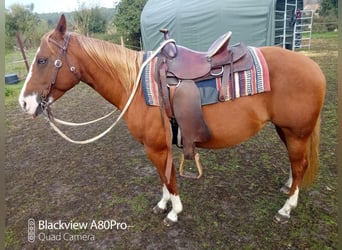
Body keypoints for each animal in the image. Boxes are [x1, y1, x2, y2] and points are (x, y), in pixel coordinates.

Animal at [18, 15, 326, 227]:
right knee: (296, 164)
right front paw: (163, 204)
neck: (136, 85)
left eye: (43, 60)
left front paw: (174, 213)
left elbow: (169, 177)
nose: (24, 103)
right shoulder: (157, 148)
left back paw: (286, 208)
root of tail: (313, 65)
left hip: (296, 132)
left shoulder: (156, 147)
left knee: (300, 165)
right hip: (287, 130)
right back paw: (288, 187)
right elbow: (163, 177)